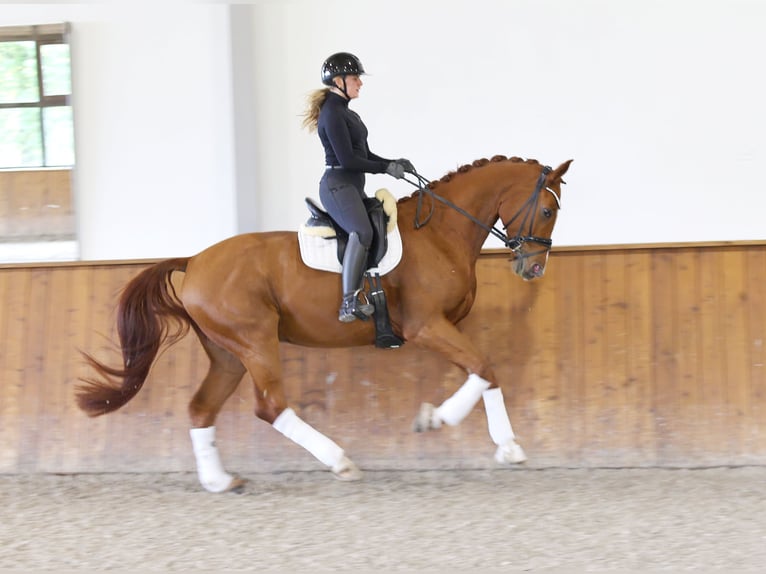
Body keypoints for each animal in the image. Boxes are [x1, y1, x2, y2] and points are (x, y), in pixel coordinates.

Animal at [78, 156, 572, 496]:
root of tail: (194, 260)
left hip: (227, 353)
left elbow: (483, 371)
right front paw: (435, 419)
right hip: (255, 341)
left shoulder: (445, 328)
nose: (534, 269)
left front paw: (507, 446)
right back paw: (340, 461)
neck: (440, 233)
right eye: (548, 212)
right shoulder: (426, 326)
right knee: (270, 406)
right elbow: (483, 367)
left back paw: (220, 482)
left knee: (202, 408)